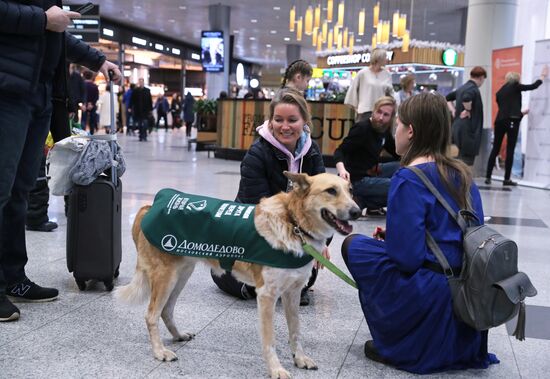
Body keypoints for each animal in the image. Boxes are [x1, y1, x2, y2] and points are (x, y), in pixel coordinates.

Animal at [116, 173, 362, 379]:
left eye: (350, 190)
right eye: (331, 191)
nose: (357, 212)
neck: (293, 222)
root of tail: (149, 205)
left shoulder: (292, 294)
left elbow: (296, 332)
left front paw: (299, 358)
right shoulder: (267, 296)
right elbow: (270, 340)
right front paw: (276, 369)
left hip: (181, 274)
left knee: (166, 310)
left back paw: (177, 335)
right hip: (166, 277)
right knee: (151, 315)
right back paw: (159, 351)